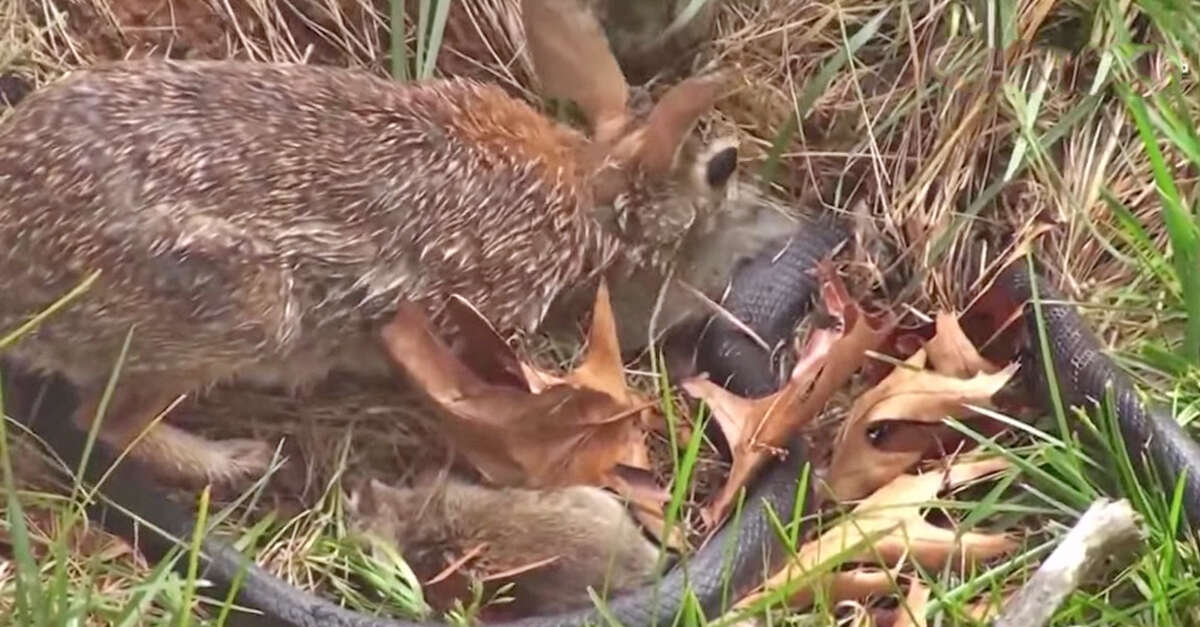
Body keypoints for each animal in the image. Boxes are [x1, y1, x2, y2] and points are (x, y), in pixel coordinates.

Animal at [0, 0, 796, 487]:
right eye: (722, 170)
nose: (787, 230)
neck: (585, 200)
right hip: (237, 312)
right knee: (107, 421)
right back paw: (235, 461)